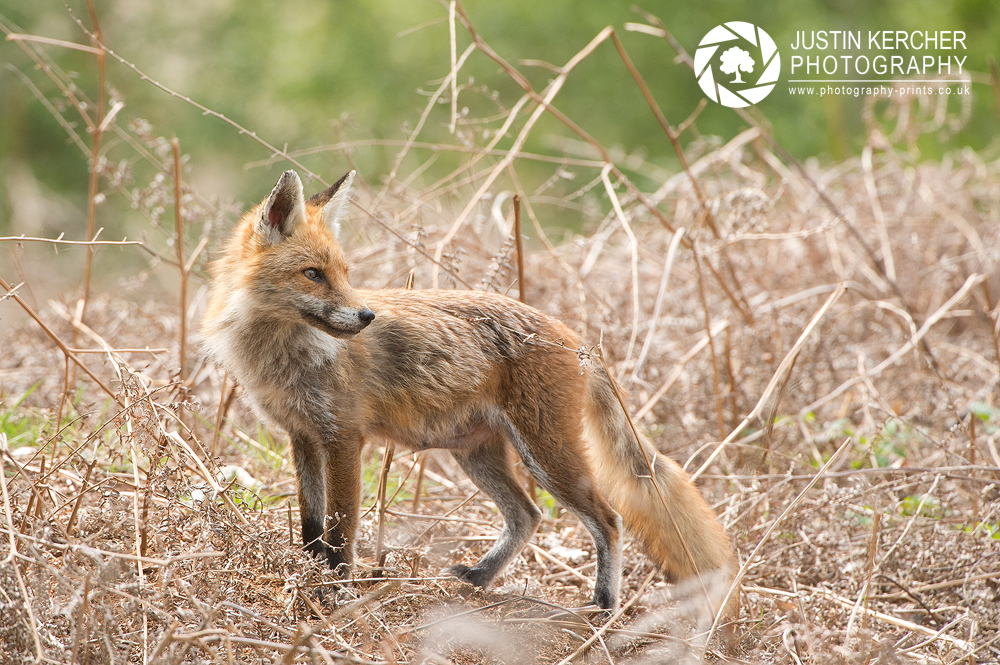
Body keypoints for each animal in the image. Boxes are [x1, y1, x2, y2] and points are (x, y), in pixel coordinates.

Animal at [201, 169, 736, 608]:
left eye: (345, 274)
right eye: (313, 274)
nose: (367, 316)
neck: (283, 357)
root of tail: (575, 336)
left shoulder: (344, 438)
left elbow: (340, 530)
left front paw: (333, 592)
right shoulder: (304, 436)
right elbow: (313, 528)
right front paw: (309, 579)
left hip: (547, 455)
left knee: (608, 519)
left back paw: (603, 603)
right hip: (478, 454)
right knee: (527, 516)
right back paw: (481, 577)